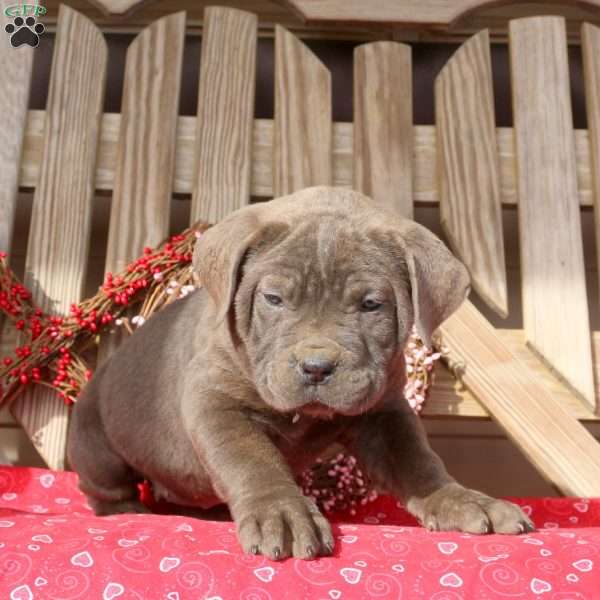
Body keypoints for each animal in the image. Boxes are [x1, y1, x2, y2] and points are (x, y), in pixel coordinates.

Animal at [68, 185, 532, 560]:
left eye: (371, 305)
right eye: (273, 298)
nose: (316, 367)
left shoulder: (384, 412)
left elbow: (417, 461)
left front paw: (462, 500)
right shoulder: (215, 401)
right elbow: (252, 460)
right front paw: (283, 514)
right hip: (96, 445)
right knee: (105, 487)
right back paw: (127, 510)